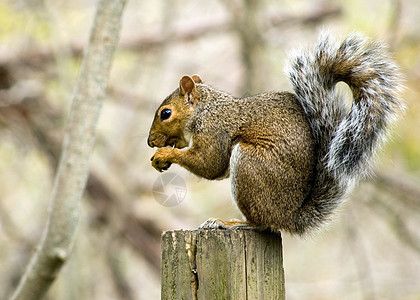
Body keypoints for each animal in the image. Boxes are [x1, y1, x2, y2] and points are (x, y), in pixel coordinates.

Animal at [147, 32, 404, 234]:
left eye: (165, 113)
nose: (150, 142)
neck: (206, 109)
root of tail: (289, 216)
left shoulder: (214, 129)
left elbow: (209, 163)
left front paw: (164, 154)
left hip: (250, 164)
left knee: (261, 223)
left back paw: (230, 223)